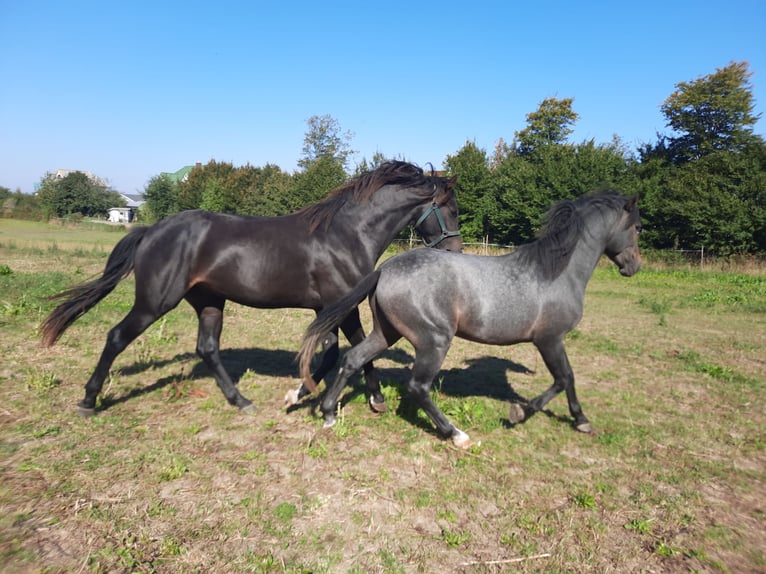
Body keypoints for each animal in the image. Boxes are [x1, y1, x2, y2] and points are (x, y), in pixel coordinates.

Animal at [41, 161, 462, 416]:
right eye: (453, 209)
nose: (455, 251)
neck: (346, 234)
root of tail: (152, 230)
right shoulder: (342, 305)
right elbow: (358, 350)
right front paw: (374, 399)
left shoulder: (324, 309)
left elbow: (331, 352)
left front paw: (300, 393)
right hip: (155, 302)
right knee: (116, 337)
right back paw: (88, 399)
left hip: (209, 302)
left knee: (207, 349)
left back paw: (241, 401)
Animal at [297, 191, 641, 448]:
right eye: (637, 227)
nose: (634, 266)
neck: (557, 272)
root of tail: (384, 269)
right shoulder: (549, 339)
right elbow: (564, 378)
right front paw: (524, 413)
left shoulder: (551, 341)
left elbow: (566, 378)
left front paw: (579, 420)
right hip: (435, 340)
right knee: (418, 387)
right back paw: (456, 434)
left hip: (387, 332)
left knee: (353, 359)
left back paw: (328, 414)